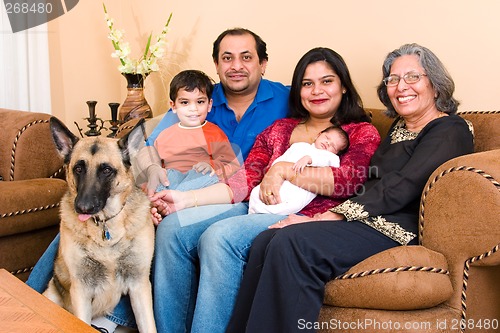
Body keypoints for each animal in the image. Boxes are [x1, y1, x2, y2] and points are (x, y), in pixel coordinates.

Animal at [43, 116, 156, 330]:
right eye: (78, 169)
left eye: (106, 170)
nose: (83, 208)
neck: (106, 227)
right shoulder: (81, 291)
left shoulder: (139, 286)